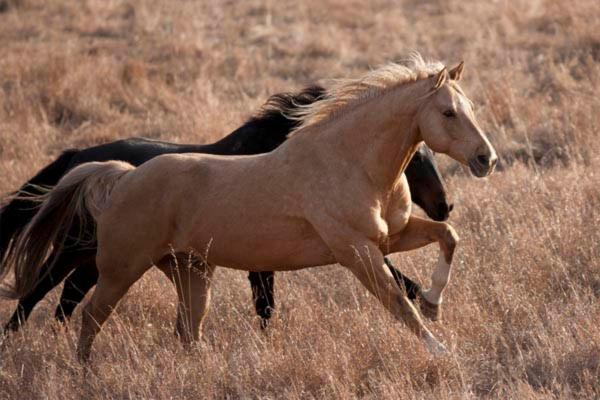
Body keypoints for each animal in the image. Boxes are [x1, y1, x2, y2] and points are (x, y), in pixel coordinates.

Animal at [1, 54, 496, 360]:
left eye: (471, 106)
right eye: (448, 113)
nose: (485, 159)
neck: (349, 162)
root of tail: (120, 175)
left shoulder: (391, 236)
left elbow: (448, 239)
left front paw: (435, 301)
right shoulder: (355, 249)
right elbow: (397, 301)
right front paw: (440, 350)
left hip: (190, 270)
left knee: (186, 330)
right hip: (118, 267)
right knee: (81, 312)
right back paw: (79, 370)